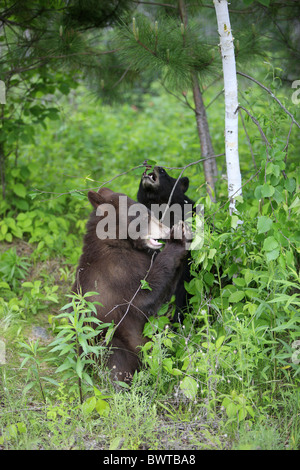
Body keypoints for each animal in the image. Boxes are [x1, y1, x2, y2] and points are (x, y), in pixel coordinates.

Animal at [72, 186, 188, 382]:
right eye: (143, 216)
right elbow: (144, 298)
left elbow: (166, 291)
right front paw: (178, 238)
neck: (120, 244)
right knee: (116, 358)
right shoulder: (117, 274)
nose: (166, 230)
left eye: (150, 212)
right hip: (107, 339)